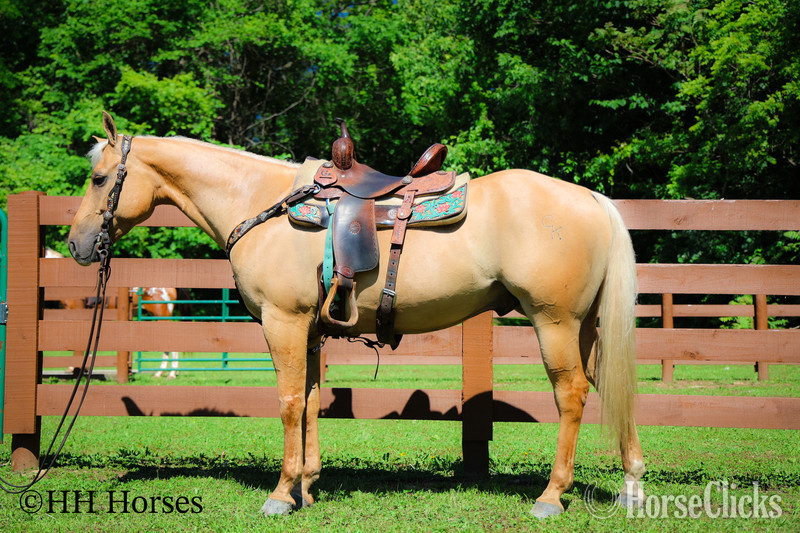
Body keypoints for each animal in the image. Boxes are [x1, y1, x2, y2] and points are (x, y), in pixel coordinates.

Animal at [67, 113, 645, 518]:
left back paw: (551, 496)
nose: (76, 244)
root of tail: (592, 199)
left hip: (554, 323)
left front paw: (280, 494)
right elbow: (311, 403)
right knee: (610, 385)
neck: (261, 204)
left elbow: (288, 403)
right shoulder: (308, 329)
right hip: (585, 327)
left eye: (98, 178)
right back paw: (633, 485)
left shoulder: (283, 322)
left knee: (572, 394)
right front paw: (307, 487)